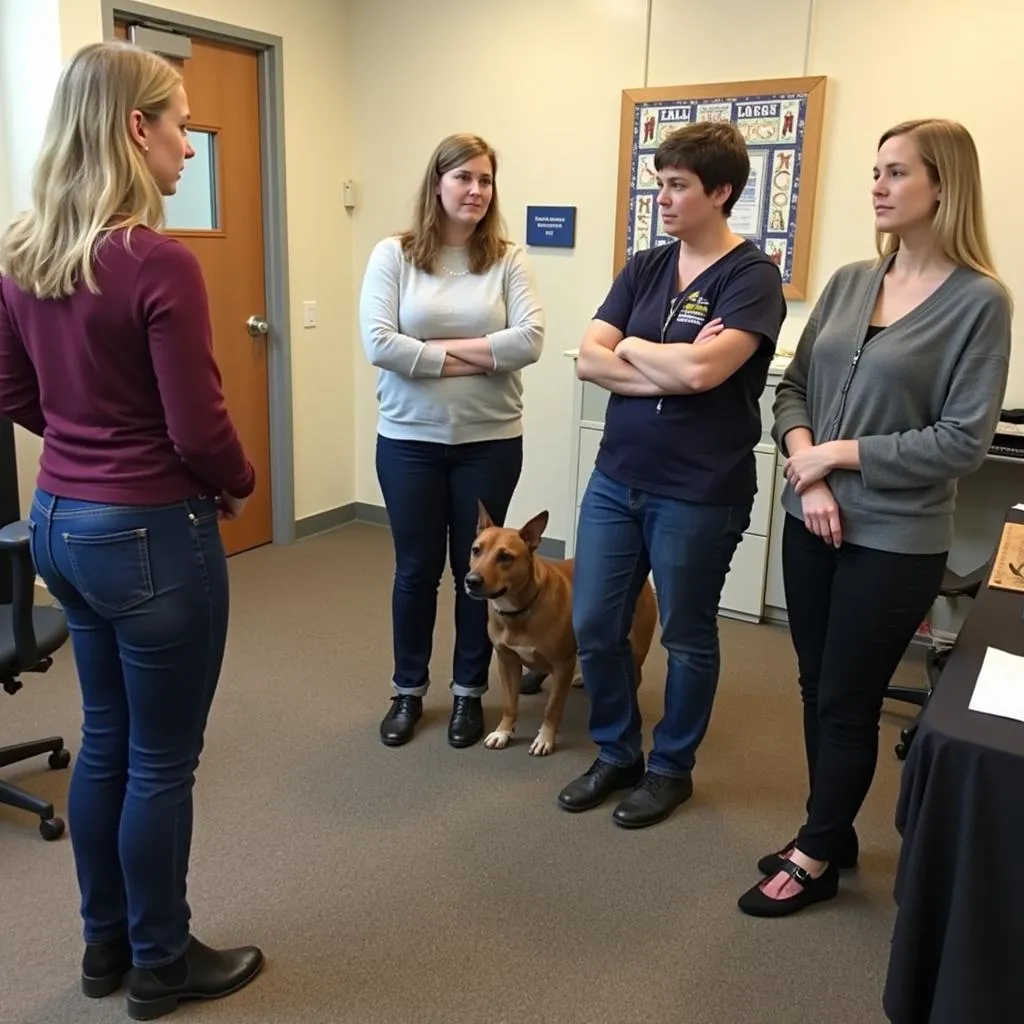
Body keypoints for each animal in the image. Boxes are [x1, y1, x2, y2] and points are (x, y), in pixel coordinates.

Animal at [464, 501, 655, 753]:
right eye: (476, 550)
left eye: (505, 557)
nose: (471, 581)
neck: (521, 609)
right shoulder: (507, 661)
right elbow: (509, 702)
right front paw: (503, 731)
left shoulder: (562, 665)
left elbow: (552, 707)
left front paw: (545, 737)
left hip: (635, 648)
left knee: (633, 676)